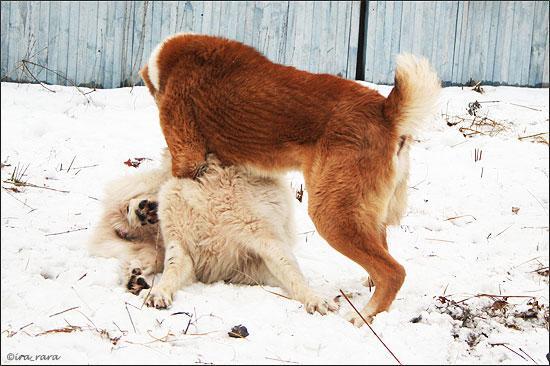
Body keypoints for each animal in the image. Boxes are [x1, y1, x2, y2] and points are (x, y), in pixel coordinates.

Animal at [88, 151, 338, 314]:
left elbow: (294, 275)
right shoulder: (181, 247)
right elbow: (171, 272)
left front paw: (315, 299)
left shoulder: (266, 243)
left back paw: (136, 274)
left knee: (139, 255)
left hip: (154, 249)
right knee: (126, 205)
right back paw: (141, 211)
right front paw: (159, 293)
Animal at [140, 33, 442, 324]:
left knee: (394, 272)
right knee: (381, 258)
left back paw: (361, 317)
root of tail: (386, 112)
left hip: (332, 216)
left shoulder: (188, 158)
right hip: (362, 213)